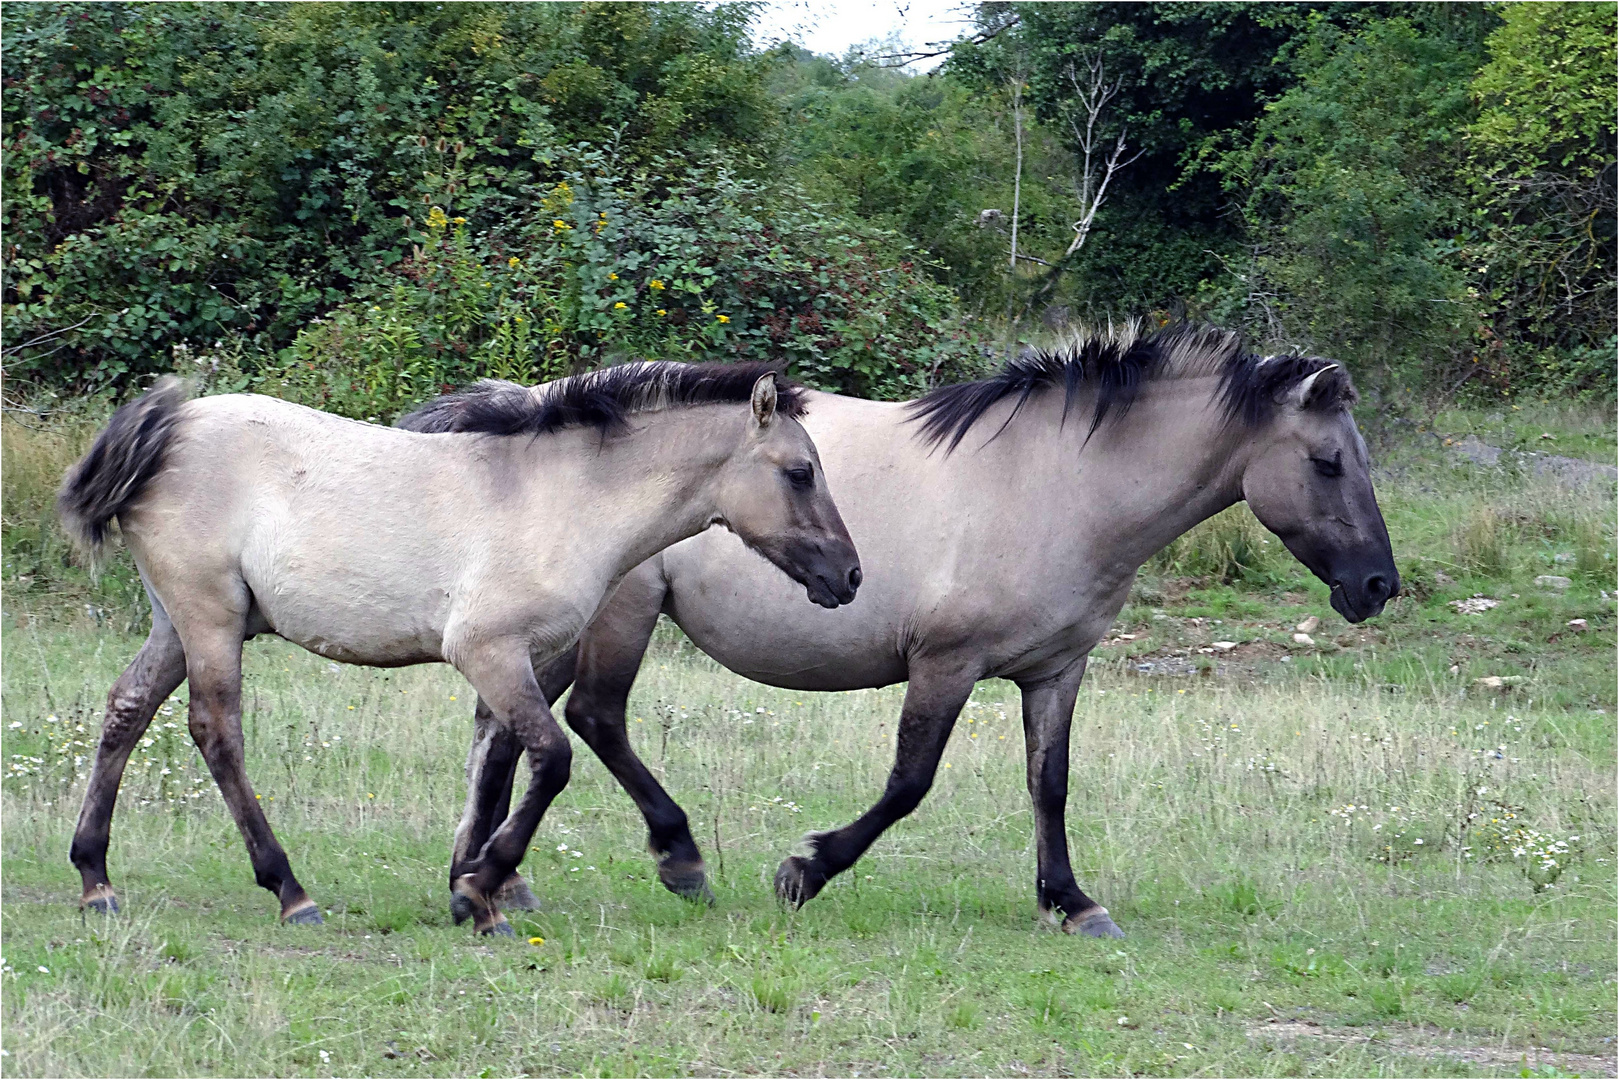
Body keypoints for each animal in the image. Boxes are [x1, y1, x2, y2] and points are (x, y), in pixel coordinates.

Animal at [59, 365, 874, 939]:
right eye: (800, 473)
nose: (849, 576)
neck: (563, 500)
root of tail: (169, 427)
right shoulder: (489, 651)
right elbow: (550, 759)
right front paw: (485, 891)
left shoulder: (520, 661)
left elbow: (496, 760)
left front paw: (468, 891)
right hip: (210, 618)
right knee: (215, 730)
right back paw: (290, 892)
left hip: (177, 623)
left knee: (127, 709)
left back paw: (96, 880)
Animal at [411, 320, 1398, 939]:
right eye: (1327, 461)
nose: (1376, 586)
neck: (1057, 487)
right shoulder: (945, 664)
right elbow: (908, 783)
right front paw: (805, 869)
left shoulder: (1056, 671)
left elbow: (1049, 787)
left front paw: (1070, 901)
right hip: (614, 619)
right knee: (589, 722)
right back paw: (667, 859)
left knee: (504, 729)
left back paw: (490, 879)